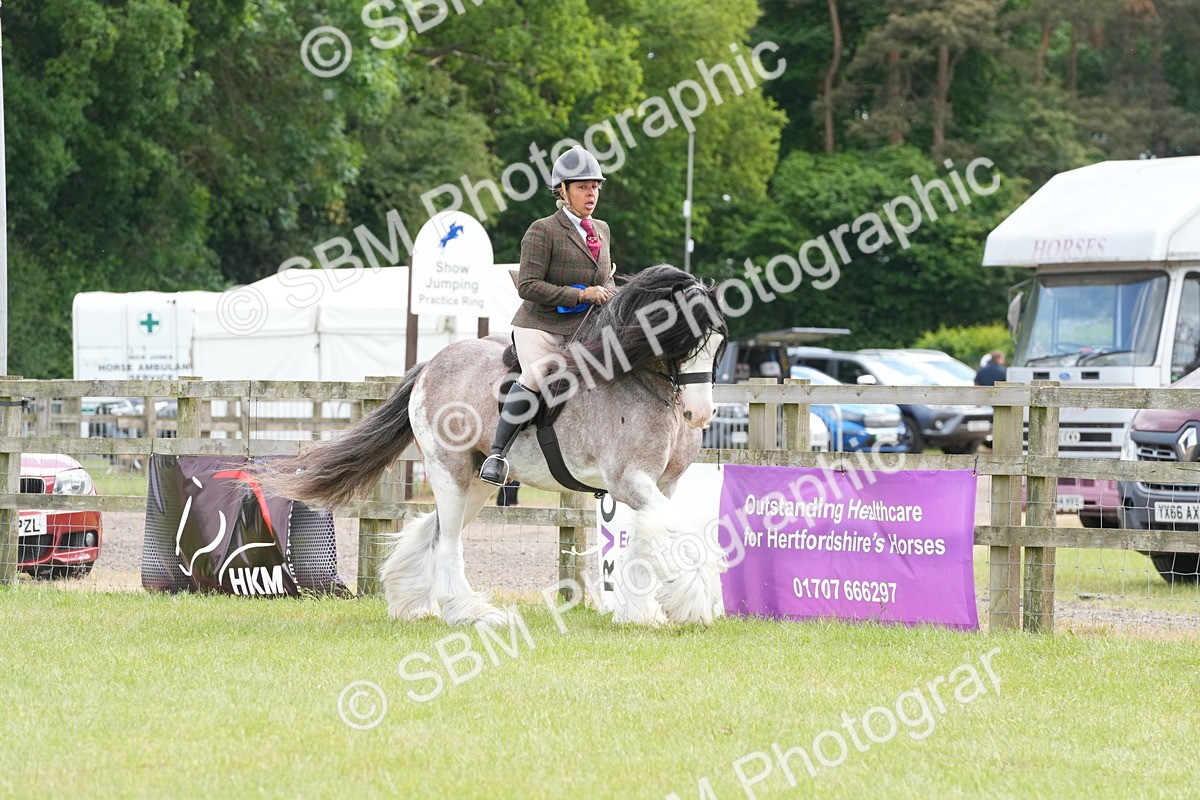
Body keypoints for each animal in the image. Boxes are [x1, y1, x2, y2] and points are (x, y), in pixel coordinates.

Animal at [257, 264, 729, 626]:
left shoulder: (658, 486)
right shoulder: (630, 482)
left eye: (718, 343)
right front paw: (693, 603)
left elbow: (652, 539)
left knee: (435, 531)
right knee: (449, 543)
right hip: (447, 470)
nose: (700, 414)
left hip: (478, 480)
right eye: (684, 339)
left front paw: (641, 614)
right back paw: (471, 613)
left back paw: (412, 603)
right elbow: (679, 535)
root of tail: (432, 364)